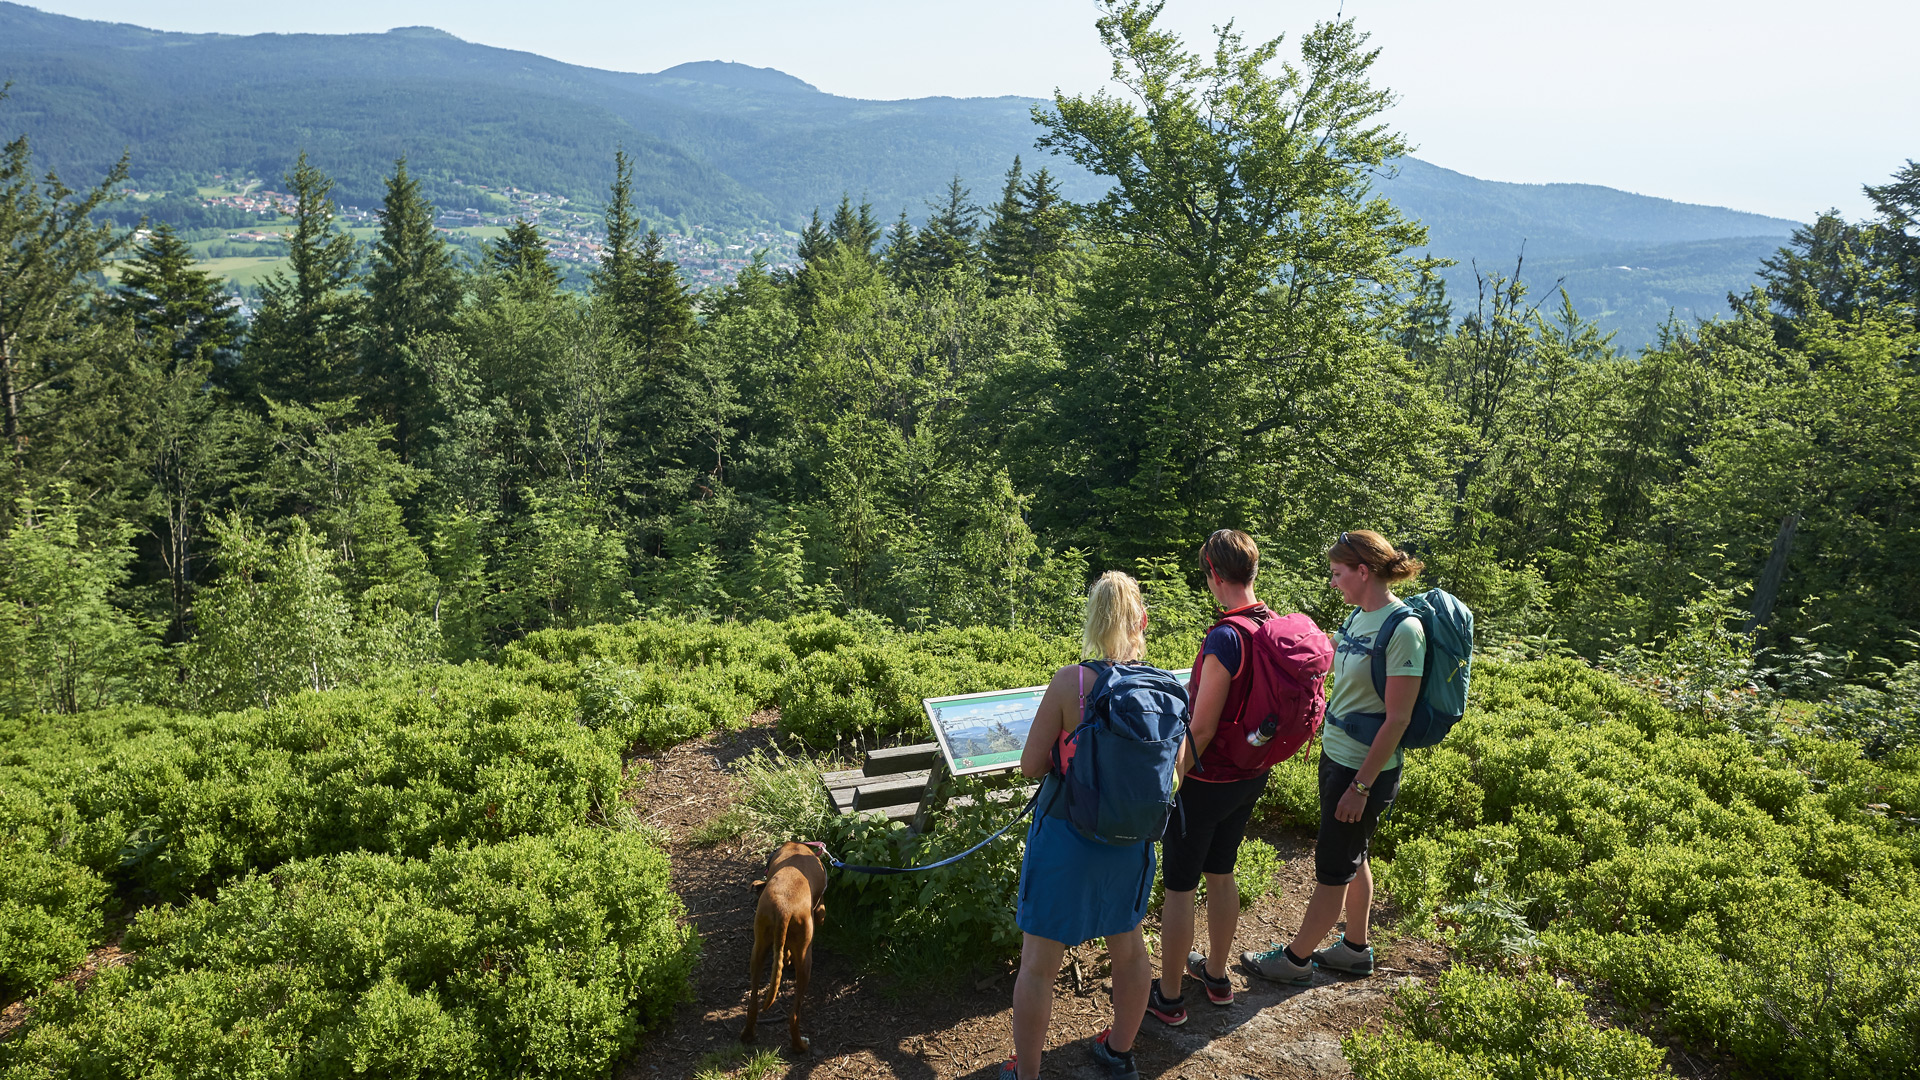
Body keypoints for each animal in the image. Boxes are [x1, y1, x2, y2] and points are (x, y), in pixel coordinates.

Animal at [737, 837, 821, 1045]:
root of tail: (784, 909)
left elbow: (785, 953)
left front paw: (787, 959)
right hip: (805, 959)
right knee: (794, 1015)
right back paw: (800, 1046)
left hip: (758, 950)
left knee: (753, 1004)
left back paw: (747, 1035)